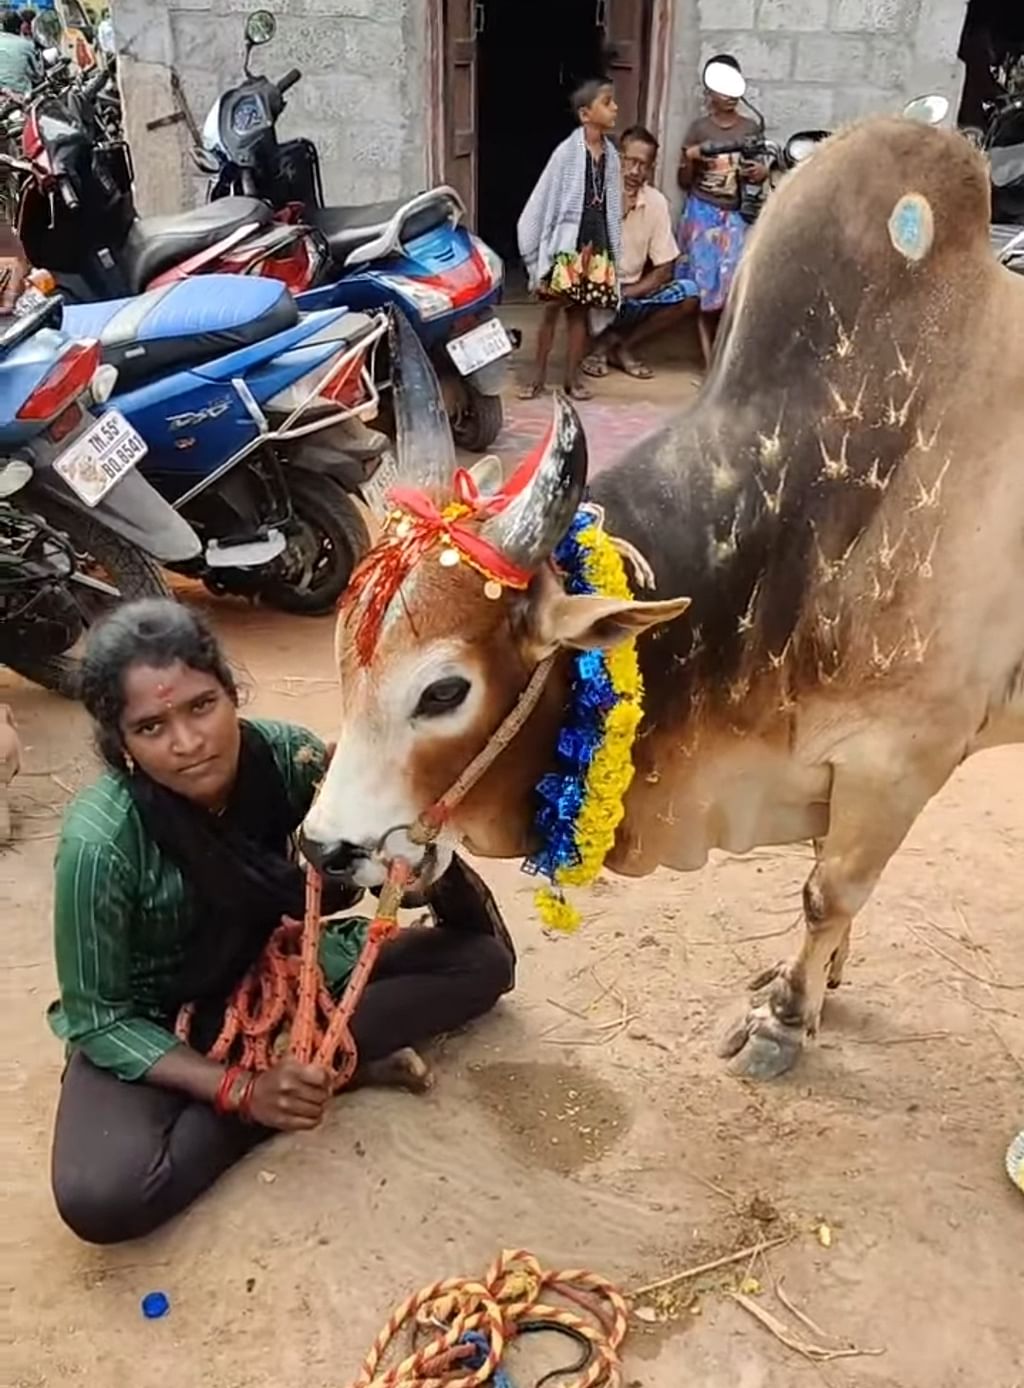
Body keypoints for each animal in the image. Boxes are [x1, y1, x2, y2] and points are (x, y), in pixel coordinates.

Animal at [302, 116, 1021, 1071]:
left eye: (444, 691)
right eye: (346, 659)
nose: (321, 848)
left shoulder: (901, 753)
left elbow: (826, 891)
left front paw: (785, 1019)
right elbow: (828, 878)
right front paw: (823, 983)